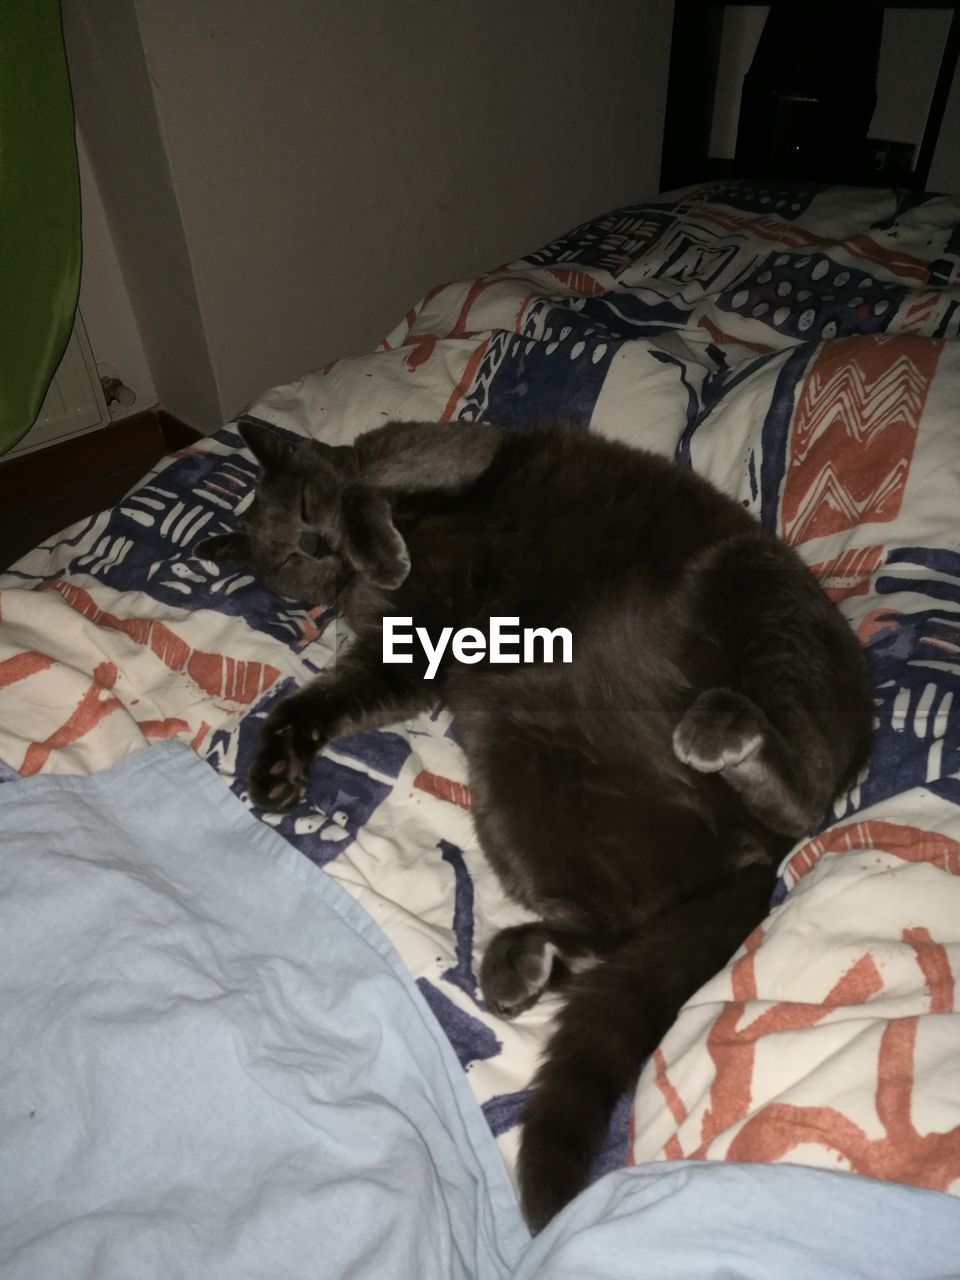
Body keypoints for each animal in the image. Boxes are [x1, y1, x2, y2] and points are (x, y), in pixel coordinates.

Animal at [199, 417, 875, 1228]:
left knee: (797, 787)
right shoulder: (399, 660)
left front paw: (379, 546)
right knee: (616, 927)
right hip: (516, 757)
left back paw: (721, 730)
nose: (322, 545)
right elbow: (317, 700)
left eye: (305, 506)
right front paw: (274, 770)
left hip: (751, 587)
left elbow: (370, 493)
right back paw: (521, 963)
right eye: (288, 558)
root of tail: (755, 855)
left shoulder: (451, 462)